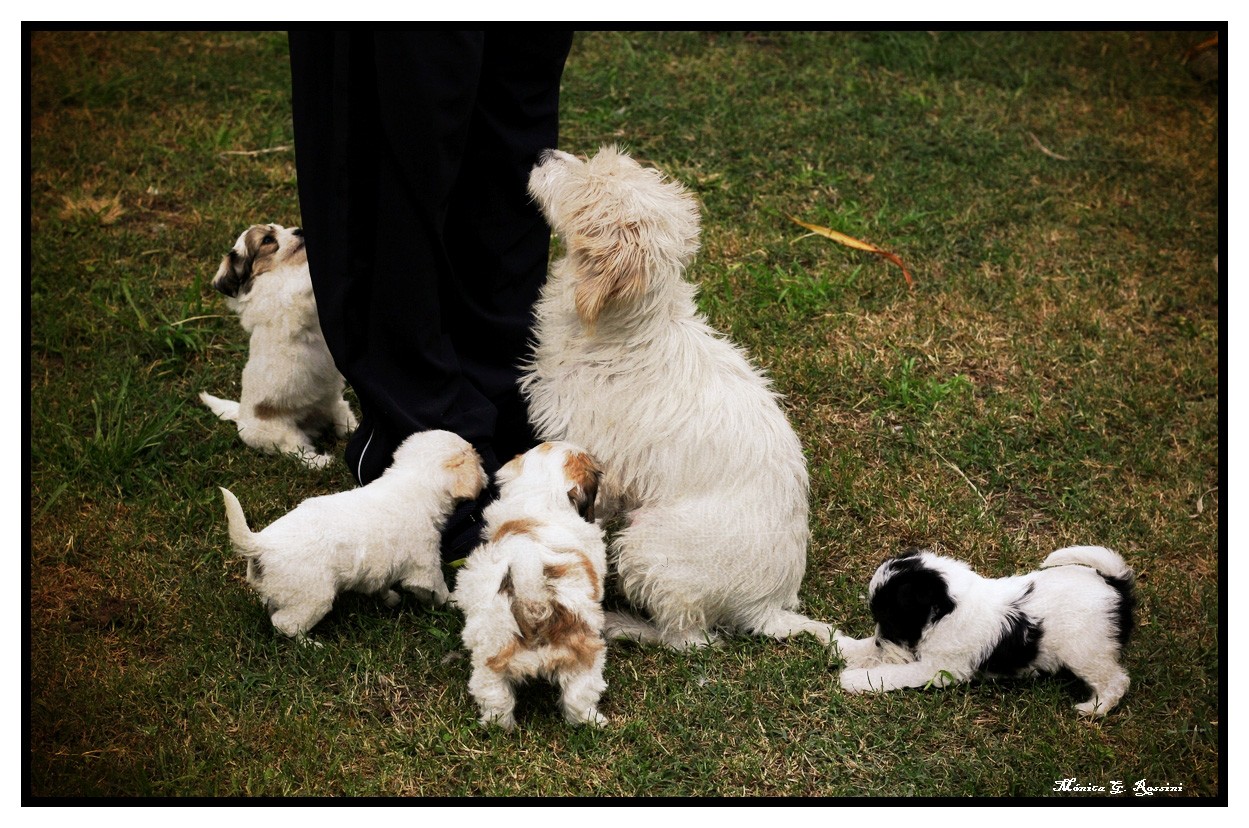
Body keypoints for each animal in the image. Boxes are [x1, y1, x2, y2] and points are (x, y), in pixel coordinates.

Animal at [198, 223, 357, 469]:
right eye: (267, 240)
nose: (299, 230)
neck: (275, 272)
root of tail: (241, 417)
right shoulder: (290, 298)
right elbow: (303, 280)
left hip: (330, 400)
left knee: (340, 412)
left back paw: (350, 427)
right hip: (283, 434)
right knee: (298, 451)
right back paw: (322, 462)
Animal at [219, 429, 482, 644]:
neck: (414, 480)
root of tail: (261, 543)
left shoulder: (381, 565)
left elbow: (381, 584)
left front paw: (390, 599)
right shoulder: (425, 566)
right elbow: (439, 588)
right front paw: (454, 602)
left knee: (273, 607)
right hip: (314, 598)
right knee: (286, 624)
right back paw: (311, 645)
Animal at [522, 145, 834, 649]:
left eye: (587, 183)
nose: (542, 152)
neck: (629, 334)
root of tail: (768, 607)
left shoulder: (603, 470)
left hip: (648, 547)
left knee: (688, 639)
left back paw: (625, 625)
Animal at [834, 547, 1139, 714]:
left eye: (893, 621)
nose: (879, 644)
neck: (948, 608)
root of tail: (1115, 585)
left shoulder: (938, 669)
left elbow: (894, 673)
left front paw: (856, 680)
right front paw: (840, 644)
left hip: (1085, 652)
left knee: (1117, 681)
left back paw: (1093, 709)